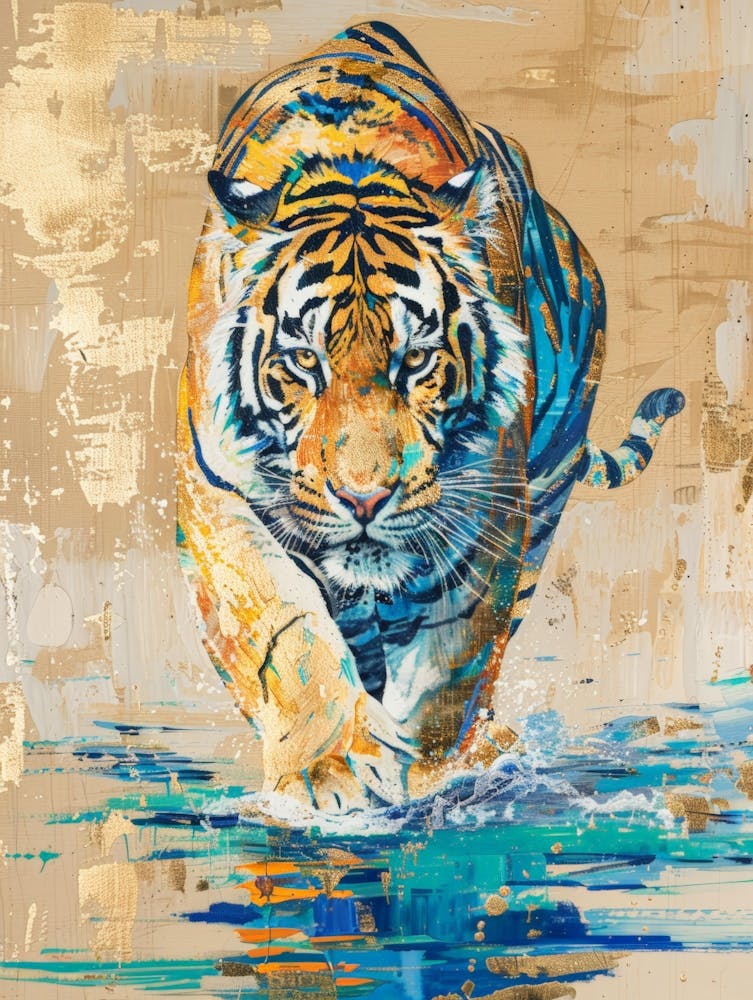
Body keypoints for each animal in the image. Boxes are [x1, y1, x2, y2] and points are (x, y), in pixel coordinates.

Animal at [177, 21, 684, 811]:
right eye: (303, 362)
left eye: (414, 360)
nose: (363, 499)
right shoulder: (218, 497)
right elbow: (287, 635)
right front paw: (328, 774)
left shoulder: (483, 506)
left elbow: (453, 660)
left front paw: (426, 779)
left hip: (543, 493)